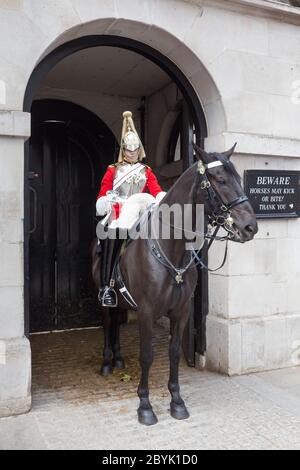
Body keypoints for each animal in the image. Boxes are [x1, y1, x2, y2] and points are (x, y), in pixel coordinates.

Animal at [92, 146, 258, 426]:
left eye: (238, 177)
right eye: (220, 180)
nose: (250, 227)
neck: (173, 247)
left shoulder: (181, 312)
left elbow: (174, 352)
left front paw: (177, 401)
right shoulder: (147, 312)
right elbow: (147, 355)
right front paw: (145, 406)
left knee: (116, 323)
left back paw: (118, 358)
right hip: (104, 299)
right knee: (106, 323)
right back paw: (106, 362)